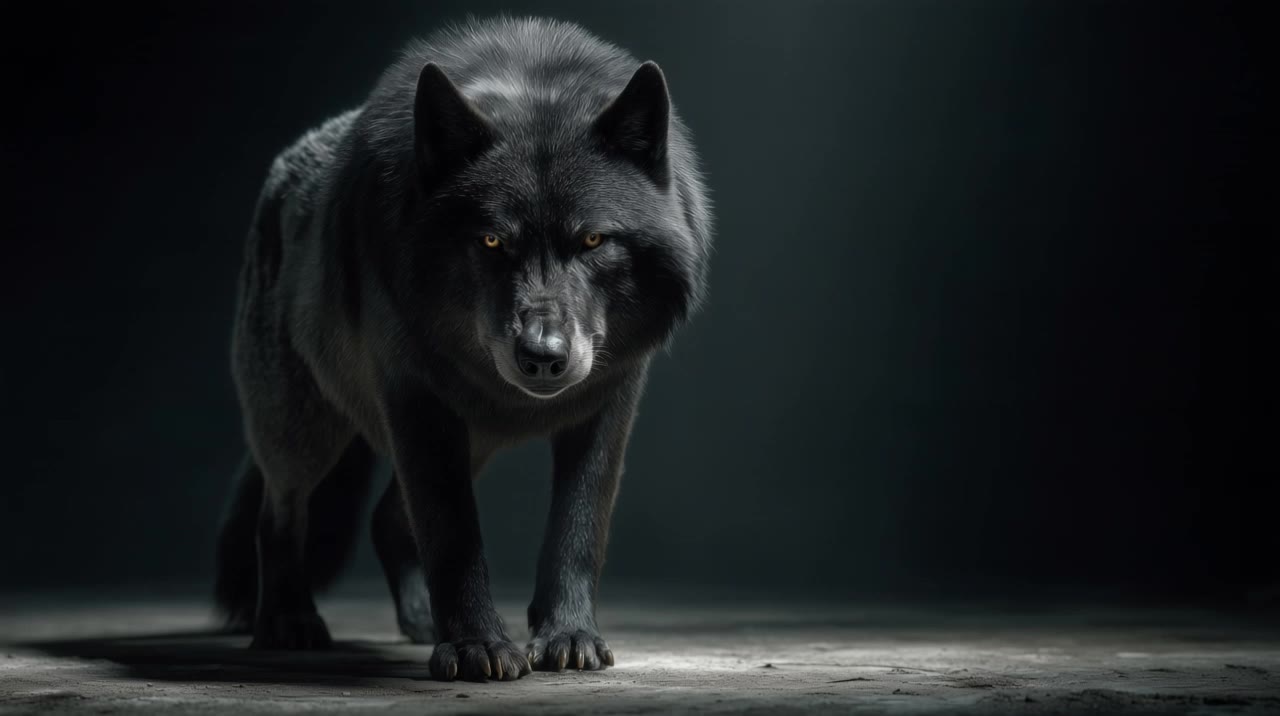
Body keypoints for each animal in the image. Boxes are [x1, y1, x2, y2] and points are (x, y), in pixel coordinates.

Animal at [211, 17, 712, 682]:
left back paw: (421, 621)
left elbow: (577, 526)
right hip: (303, 428)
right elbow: (452, 533)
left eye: (593, 240)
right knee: (281, 513)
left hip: (471, 441)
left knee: (387, 519)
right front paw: (478, 644)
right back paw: (288, 620)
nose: (543, 354)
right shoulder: (416, 401)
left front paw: (566, 634)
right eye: (493, 240)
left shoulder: (611, 402)